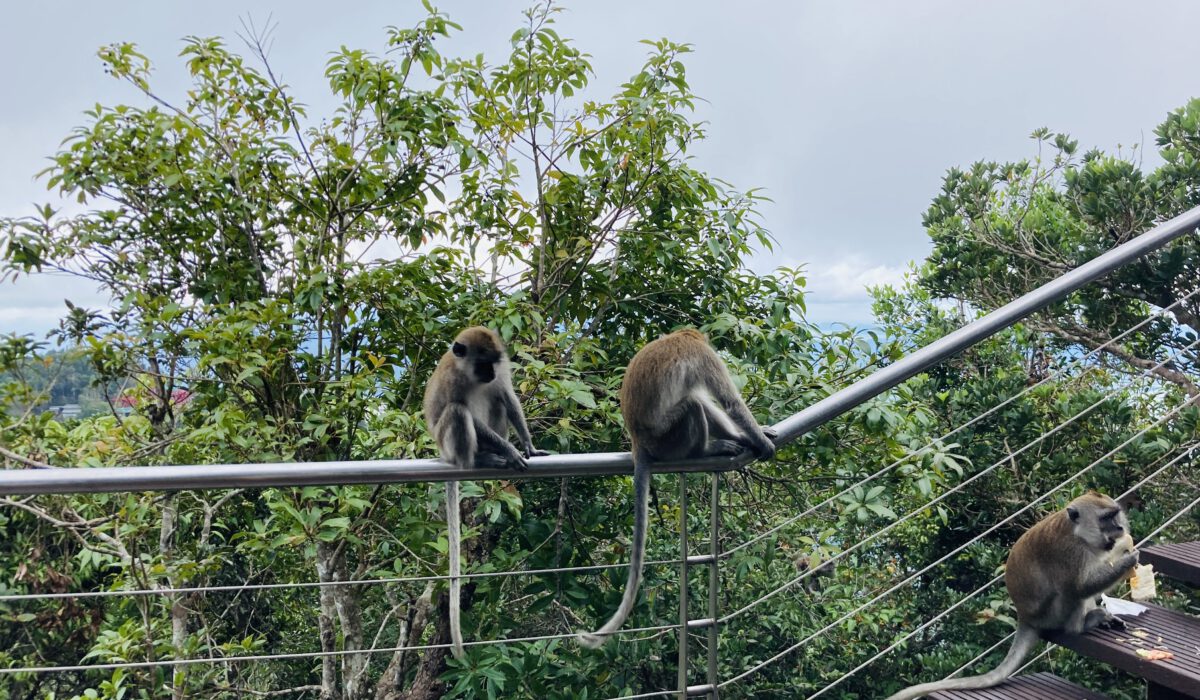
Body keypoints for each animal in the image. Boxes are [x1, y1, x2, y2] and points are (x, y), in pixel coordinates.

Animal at [422, 326, 549, 657]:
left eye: (493, 362)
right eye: (482, 364)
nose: (489, 374)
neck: (468, 373)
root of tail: (444, 455)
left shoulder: (501, 374)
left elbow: (507, 396)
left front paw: (528, 446)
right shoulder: (454, 380)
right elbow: (463, 409)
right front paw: (510, 451)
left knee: (497, 400)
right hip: (448, 443)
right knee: (457, 412)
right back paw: (480, 459)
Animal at [578, 331, 777, 648]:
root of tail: (637, 442)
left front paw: (755, 436)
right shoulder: (703, 356)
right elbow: (730, 403)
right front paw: (760, 441)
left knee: (698, 402)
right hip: (669, 439)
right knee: (693, 404)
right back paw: (711, 448)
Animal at [888, 492, 1137, 700]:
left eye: (1115, 514)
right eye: (1106, 518)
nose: (1119, 527)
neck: (1078, 533)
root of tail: (1024, 616)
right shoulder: (1071, 552)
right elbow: (1083, 586)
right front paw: (1129, 558)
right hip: (1052, 614)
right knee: (1070, 592)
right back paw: (1082, 624)